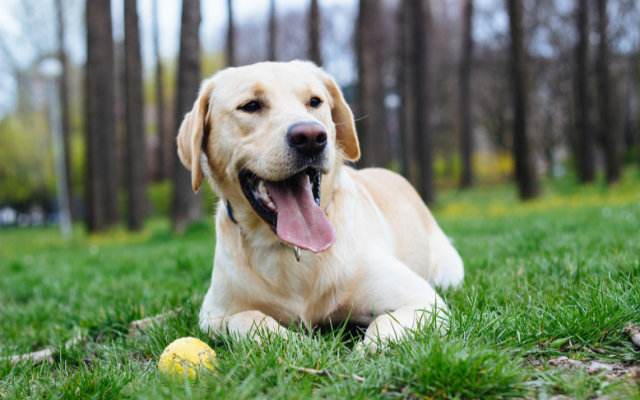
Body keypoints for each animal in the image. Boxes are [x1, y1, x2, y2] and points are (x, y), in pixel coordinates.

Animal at [178, 61, 462, 348]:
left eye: (315, 101)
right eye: (251, 105)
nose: (311, 137)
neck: (290, 248)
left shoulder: (425, 300)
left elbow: (385, 323)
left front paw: (368, 348)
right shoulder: (213, 315)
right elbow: (250, 319)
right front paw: (292, 342)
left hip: (448, 272)